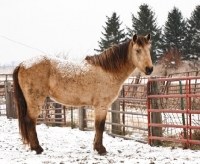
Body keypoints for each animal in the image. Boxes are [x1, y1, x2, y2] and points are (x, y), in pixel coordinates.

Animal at [12, 33, 153, 155]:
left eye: (149, 49)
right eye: (138, 50)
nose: (149, 69)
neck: (107, 71)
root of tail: (22, 64)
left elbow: (98, 127)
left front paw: (96, 147)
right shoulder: (101, 106)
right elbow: (100, 126)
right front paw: (101, 149)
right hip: (35, 101)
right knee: (30, 121)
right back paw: (37, 148)